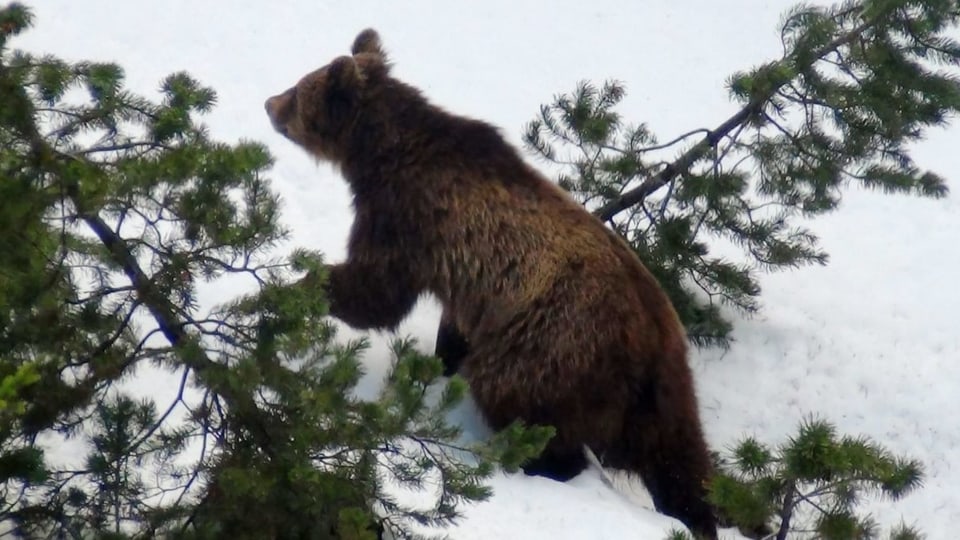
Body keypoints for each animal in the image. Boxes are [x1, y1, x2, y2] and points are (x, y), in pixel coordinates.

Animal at [266, 30, 716, 540]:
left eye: (299, 91)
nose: (269, 103)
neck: (380, 153)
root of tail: (650, 336)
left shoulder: (406, 216)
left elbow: (375, 292)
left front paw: (294, 286)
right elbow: (447, 324)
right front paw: (439, 361)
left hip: (551, 345)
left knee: (521, 402)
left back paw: (532, 462)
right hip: (665, 389)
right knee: (680, 458)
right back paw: (696, 513)